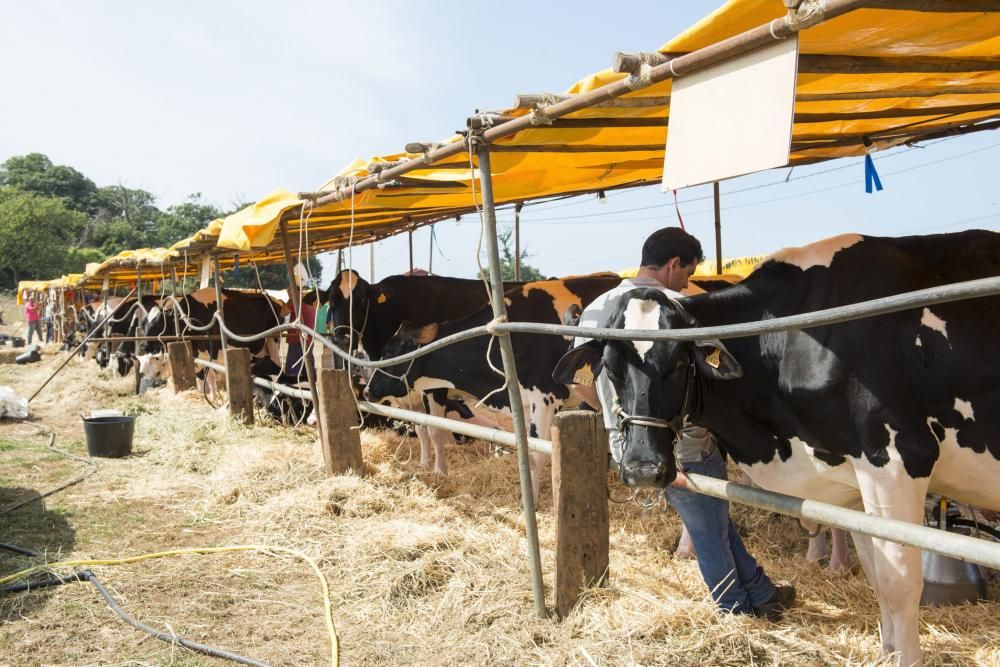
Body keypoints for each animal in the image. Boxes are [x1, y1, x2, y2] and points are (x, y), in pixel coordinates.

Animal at [552, 231, 1000, 667]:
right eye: (611, 368)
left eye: (679, 362)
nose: (643, 469)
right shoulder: (854, 483)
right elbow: (876, 576)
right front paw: (885, 655)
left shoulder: (896, 461)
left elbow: (898, 583)